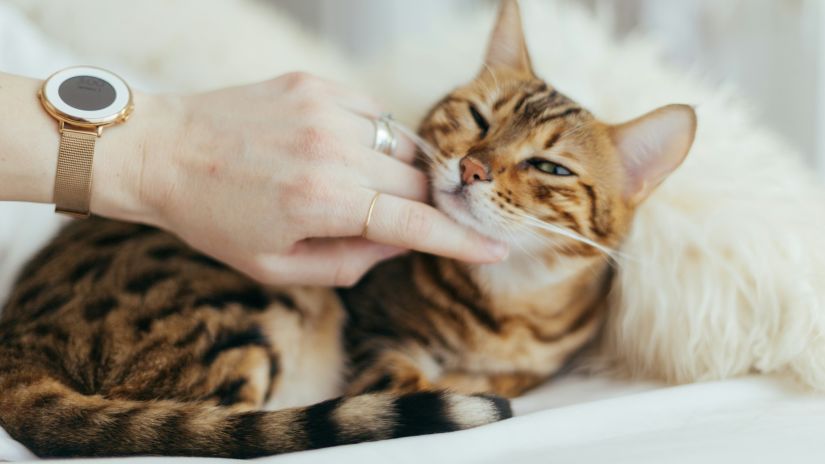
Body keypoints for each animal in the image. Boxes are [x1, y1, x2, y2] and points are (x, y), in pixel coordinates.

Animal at [0, 0, 696, 456]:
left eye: (549, 166)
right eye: (477, 118)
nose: (472, 167)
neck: (509, 305)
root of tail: (16, 340)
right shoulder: (373, 333)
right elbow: (406, 380)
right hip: (246, 297)